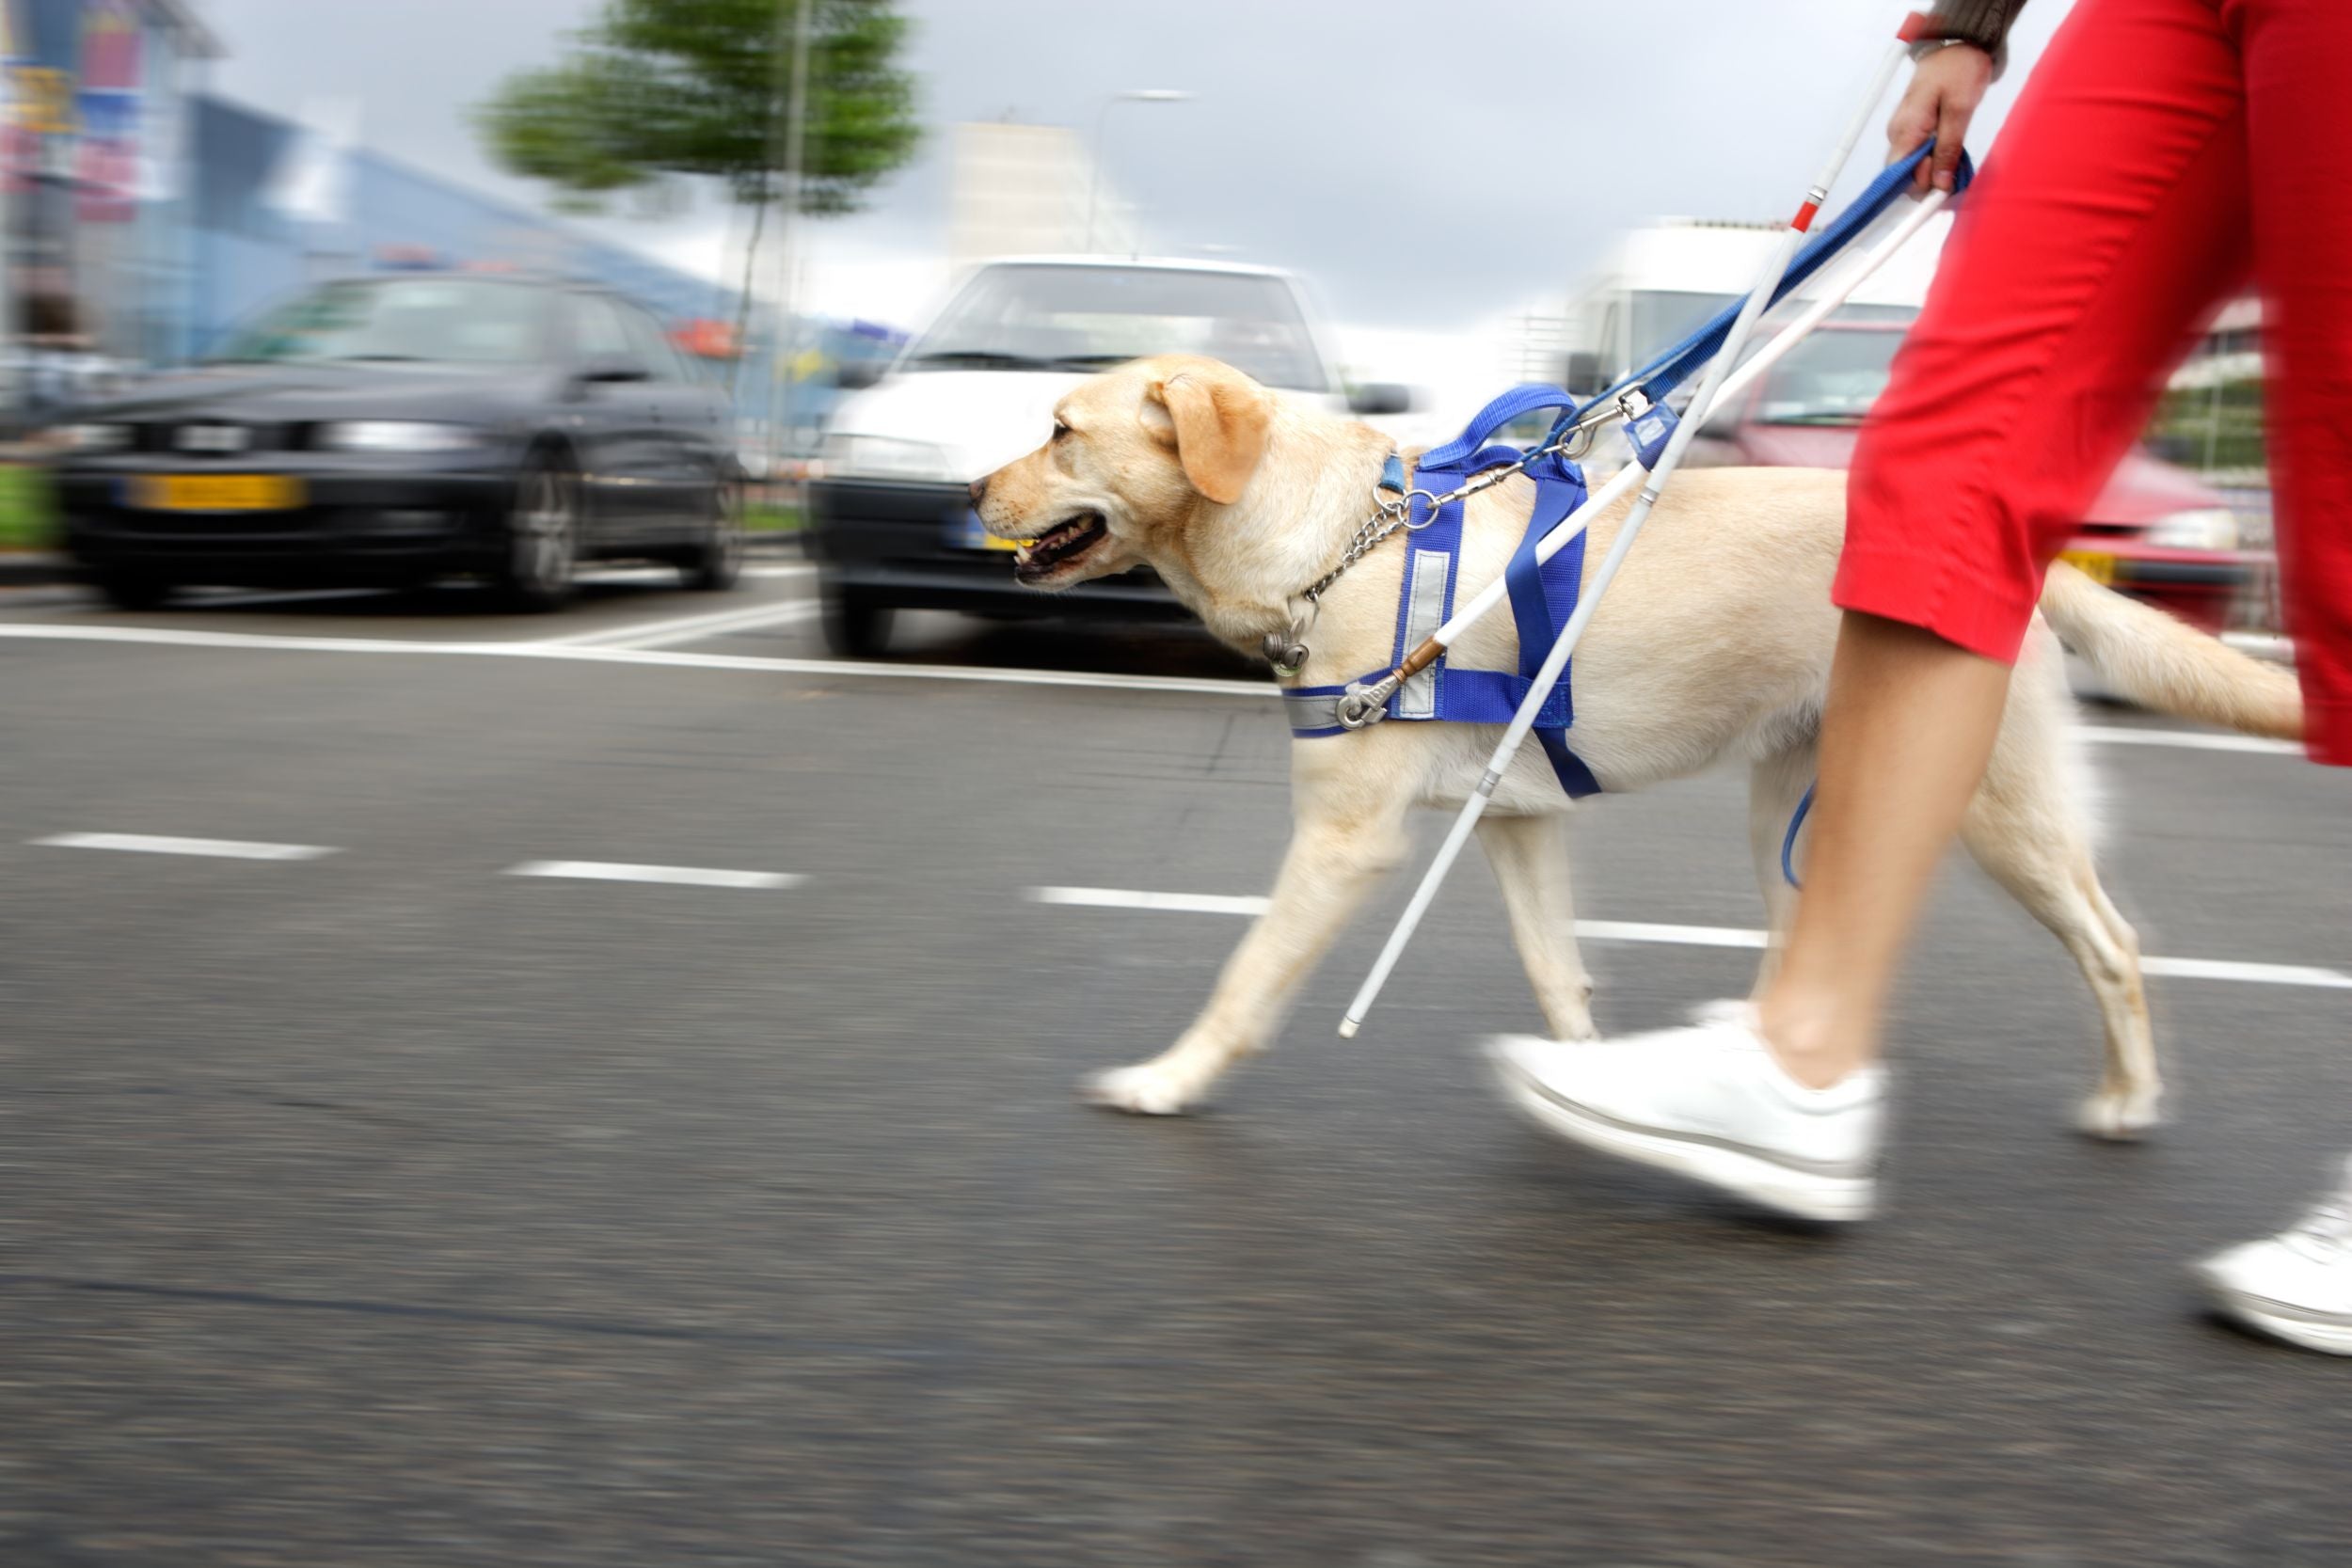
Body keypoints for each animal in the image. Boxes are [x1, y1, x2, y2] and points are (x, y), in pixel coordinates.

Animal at [969, 352, 2296, 1142]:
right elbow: (1558, 975)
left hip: (1999, 814)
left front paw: (1167, 1078)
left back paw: (2128, 1097)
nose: (974, 492)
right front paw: (1591, 1080)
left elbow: (1243, 980)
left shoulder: (1344, 841)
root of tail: (2028, 558)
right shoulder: (1515, 822)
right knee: (1806, 947)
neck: (1346, 539)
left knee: (2115, 945)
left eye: (1060, 428)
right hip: (1797, 809)